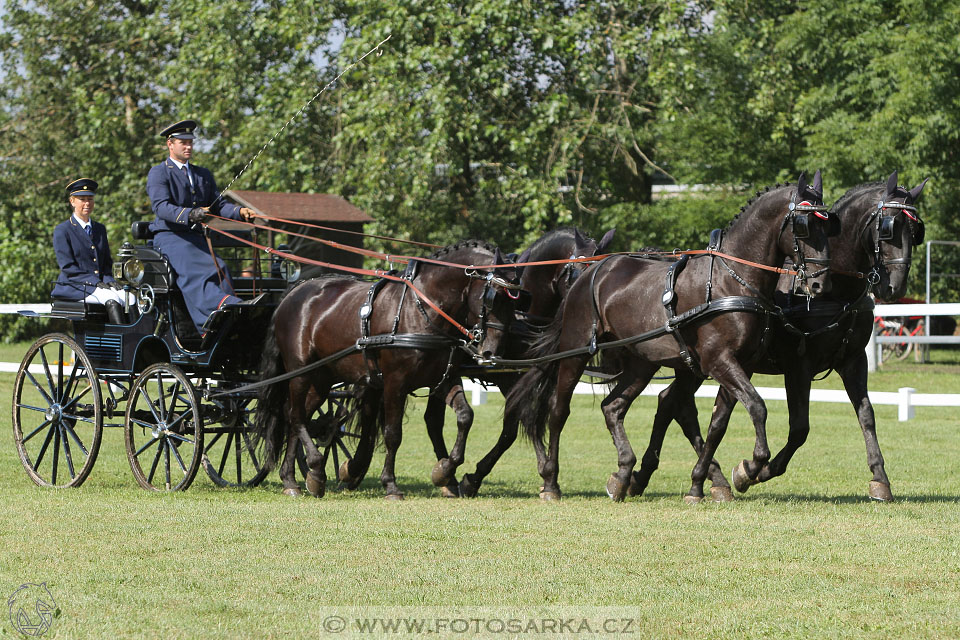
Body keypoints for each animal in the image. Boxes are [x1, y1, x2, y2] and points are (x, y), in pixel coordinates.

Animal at [255, 242, 520, 498]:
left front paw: (444, 471)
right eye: (493, 297)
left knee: (295, 416)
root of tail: (294, 292)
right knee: (296, 416)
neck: (422, 309)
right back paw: (315, 468)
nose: (492, 352)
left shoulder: (443, 379)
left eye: (517, 301)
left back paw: (293, 480)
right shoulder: (395, 383)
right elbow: (393, 433)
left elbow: (465, 416)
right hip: (301, 373)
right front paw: (391, 485)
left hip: (321, 380)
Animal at [426, 228, 620, 498]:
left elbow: (527, 423)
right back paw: (447, 475)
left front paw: (546, 475)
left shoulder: (532, 375)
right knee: (434, 420)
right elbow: (520, 423)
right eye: (580, 272)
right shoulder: (507, 376)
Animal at [502, 172, 832, 502]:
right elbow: (756, 406)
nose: (819, 284)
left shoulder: (740, 365)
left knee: (613, 407)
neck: (730, 280)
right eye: (804, 225)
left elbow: (718, 423)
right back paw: (551, 481)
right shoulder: (719, 362)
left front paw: (705, 482)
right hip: (577, 349)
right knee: (559, 409)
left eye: (830, 226)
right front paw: (751, 466)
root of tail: (593, 271)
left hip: (641, 363)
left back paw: (623, 474)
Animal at [632, 172, 928, 502]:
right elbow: (799, 428)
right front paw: (753, 471)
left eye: (916, 230)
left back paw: (655, 476)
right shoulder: (798, 365)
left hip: (694, 366)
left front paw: (879, 478)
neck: (836, 291)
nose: (895, 287)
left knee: (670, 402)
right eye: (888, 227)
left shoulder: (853, 360)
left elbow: (866, 414)